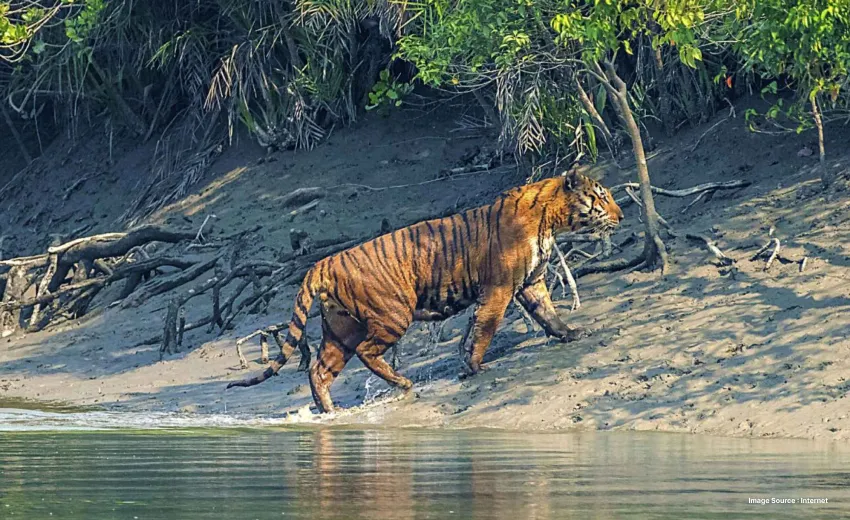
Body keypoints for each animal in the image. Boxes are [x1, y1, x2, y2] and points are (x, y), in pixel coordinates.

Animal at [227, 171, 624, 413]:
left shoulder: (531, 282)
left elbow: (547, 313)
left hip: (341, 329)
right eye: (602, 198)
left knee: (320, 370)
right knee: (366, 353)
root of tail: (322, 262)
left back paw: (330, 410)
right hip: (392, 315)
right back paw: (403, 383)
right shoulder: (499, 289)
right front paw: (472, 367)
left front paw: (571, 333)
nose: (620, 216)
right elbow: (485, 328)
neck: (549, 220)